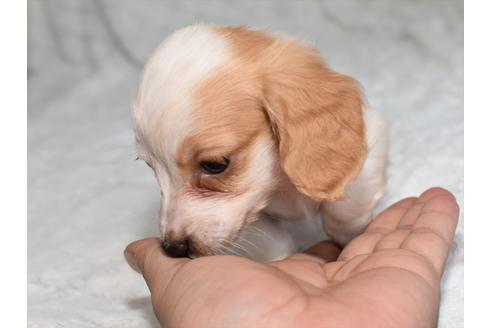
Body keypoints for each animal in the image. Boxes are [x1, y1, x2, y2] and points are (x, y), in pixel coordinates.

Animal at [131, 24, 388, 260]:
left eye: (215, 164)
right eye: (150, 166)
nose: (172, 248)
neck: (280, 184)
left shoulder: (371, 140)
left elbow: (346, 208)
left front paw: (352, 236)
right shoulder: (251, 214)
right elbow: (272, 239)